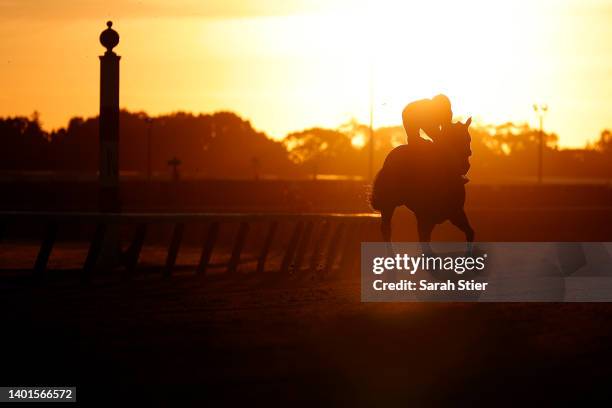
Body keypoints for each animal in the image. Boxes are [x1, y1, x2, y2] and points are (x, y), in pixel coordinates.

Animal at [368, 118, 474, 250]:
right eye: (454, 139)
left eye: (468, 138)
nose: (466, 166)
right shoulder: (425, 217)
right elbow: (425, 244)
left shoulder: (455, 213)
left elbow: (470, 233)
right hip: (388, 204)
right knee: (386, 229)